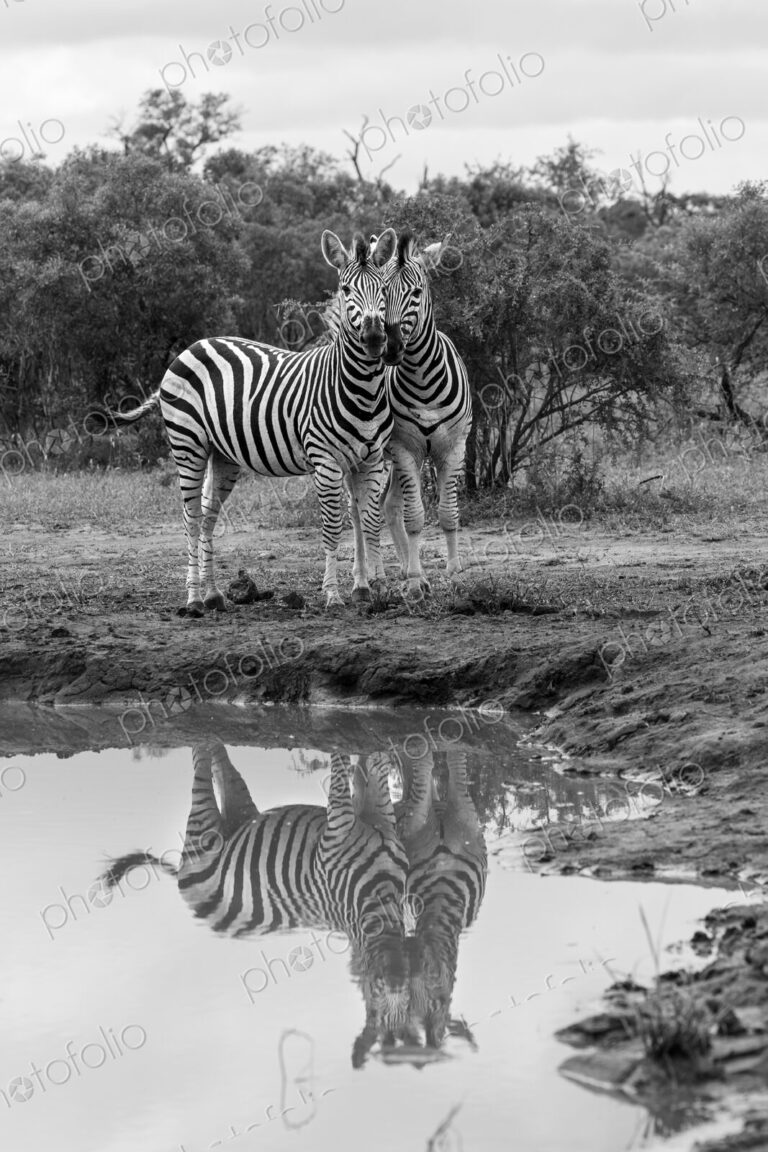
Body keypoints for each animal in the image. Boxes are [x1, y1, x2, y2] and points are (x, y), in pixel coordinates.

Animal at [99, 739, 412, 1066]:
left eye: (405, 1006)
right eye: (376, 1002)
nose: (396, 980)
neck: (379, 897)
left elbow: (373, 766)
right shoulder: (337, 829)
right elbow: (340, 768)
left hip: (237, 815)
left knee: (221, 769)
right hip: (202, 831)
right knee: (200, 763)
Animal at [110, 229, 397, 610]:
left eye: (384, 287)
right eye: (346, 289)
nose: (374, 337)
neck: (361, 389)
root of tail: (192, 346)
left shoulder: (371, 459)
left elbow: (369, 521)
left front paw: (372, 589)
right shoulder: (325, 460)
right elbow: (333, 527)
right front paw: (333, 594)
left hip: (222, 455)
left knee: (208, 517)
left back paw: (214, 594)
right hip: (188, 445)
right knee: (192, 517)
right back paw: (193, 598)